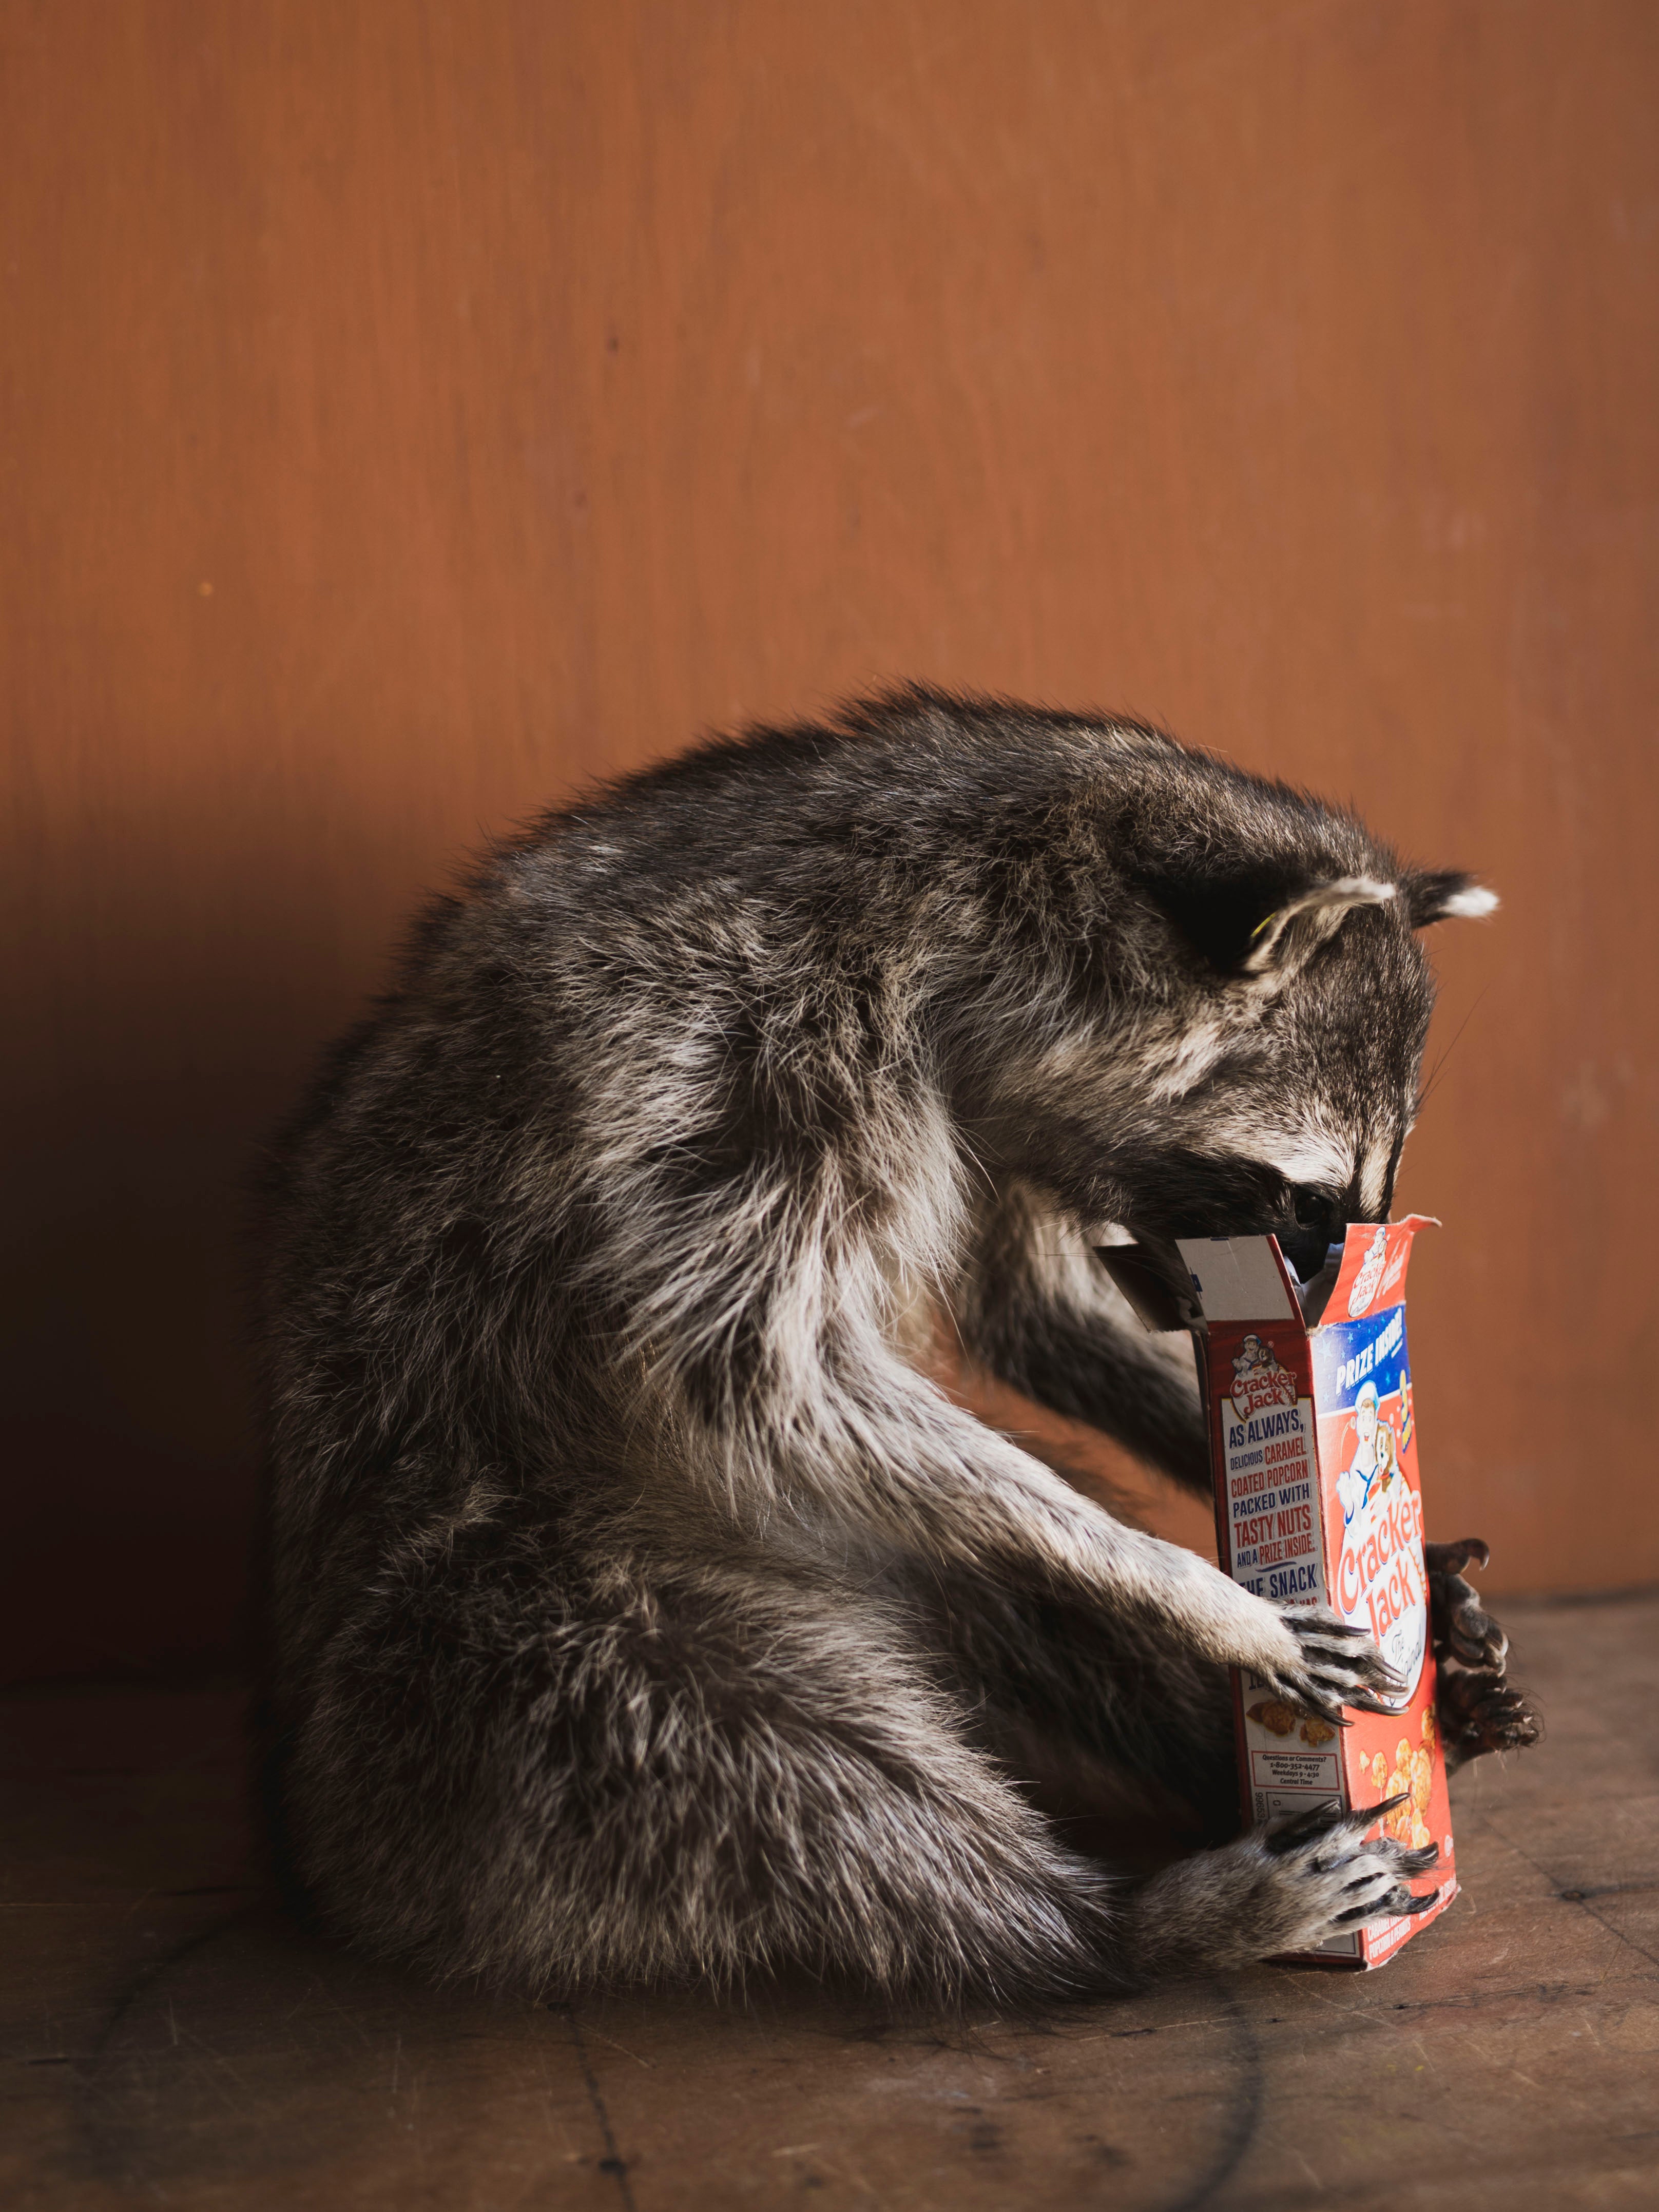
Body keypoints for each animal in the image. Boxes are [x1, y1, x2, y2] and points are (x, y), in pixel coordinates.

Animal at [253, 687, 1536, 2004]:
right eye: (1307, 1200)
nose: (1324, 1310)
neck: (971, 890)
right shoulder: (748, 1048)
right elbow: (762, 1375)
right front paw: (1199, 1589)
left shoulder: (1008, 1115)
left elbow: (1030, 1310)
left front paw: (1383, 1540)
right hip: (502, 1605)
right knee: (763, 1754)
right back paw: (1103, 1923)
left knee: (1013, 1577)